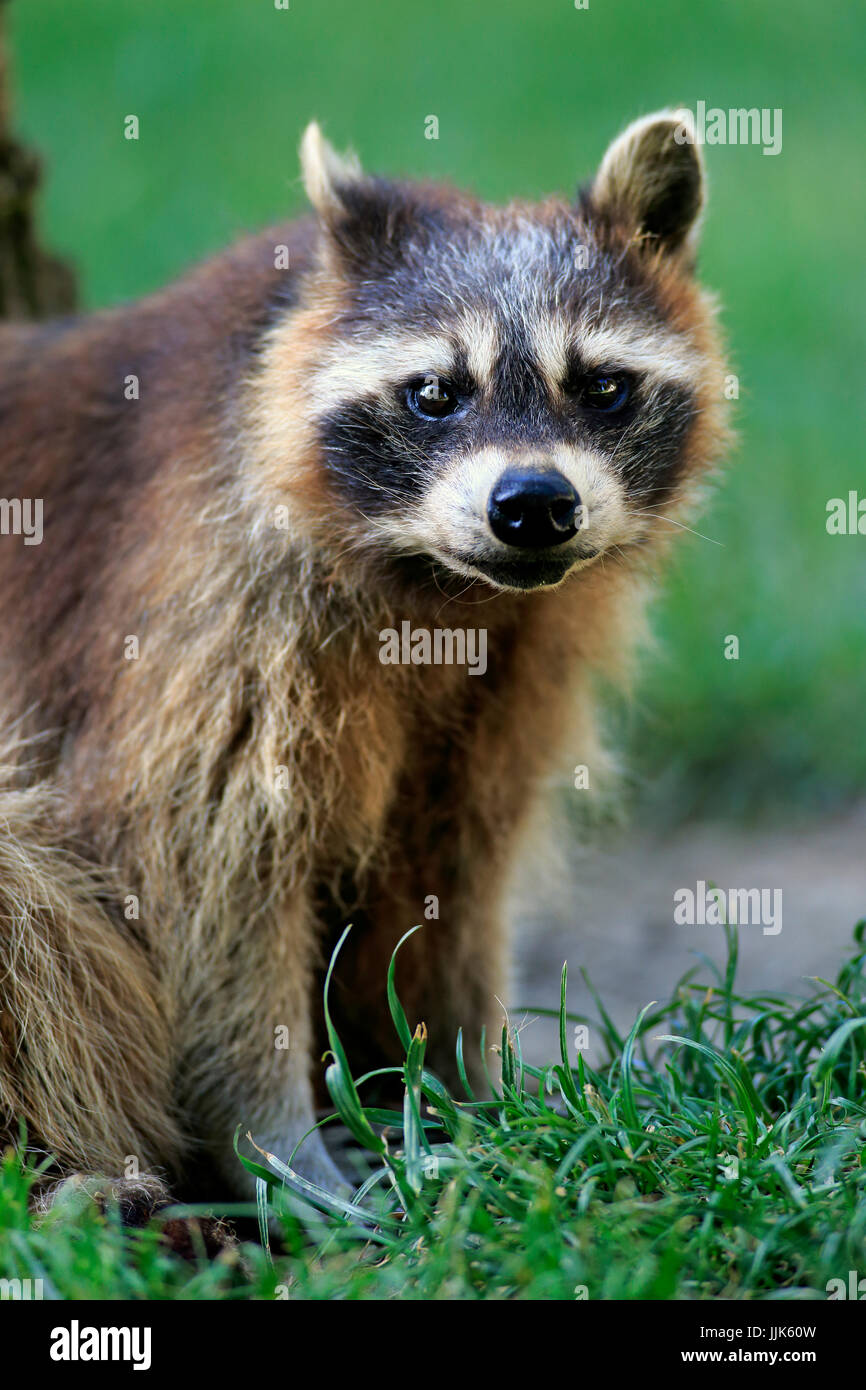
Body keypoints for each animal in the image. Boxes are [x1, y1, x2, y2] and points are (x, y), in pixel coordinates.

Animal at [0, 110, 727, 1209]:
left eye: (602, 387)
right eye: (433, 393)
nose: (532, 504)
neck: (448, 593)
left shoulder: (517, 668)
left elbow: (453, 871)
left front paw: (468, 1088)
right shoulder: (208, 601)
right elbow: (200, 872)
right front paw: (273, 1143)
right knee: (31, 906)